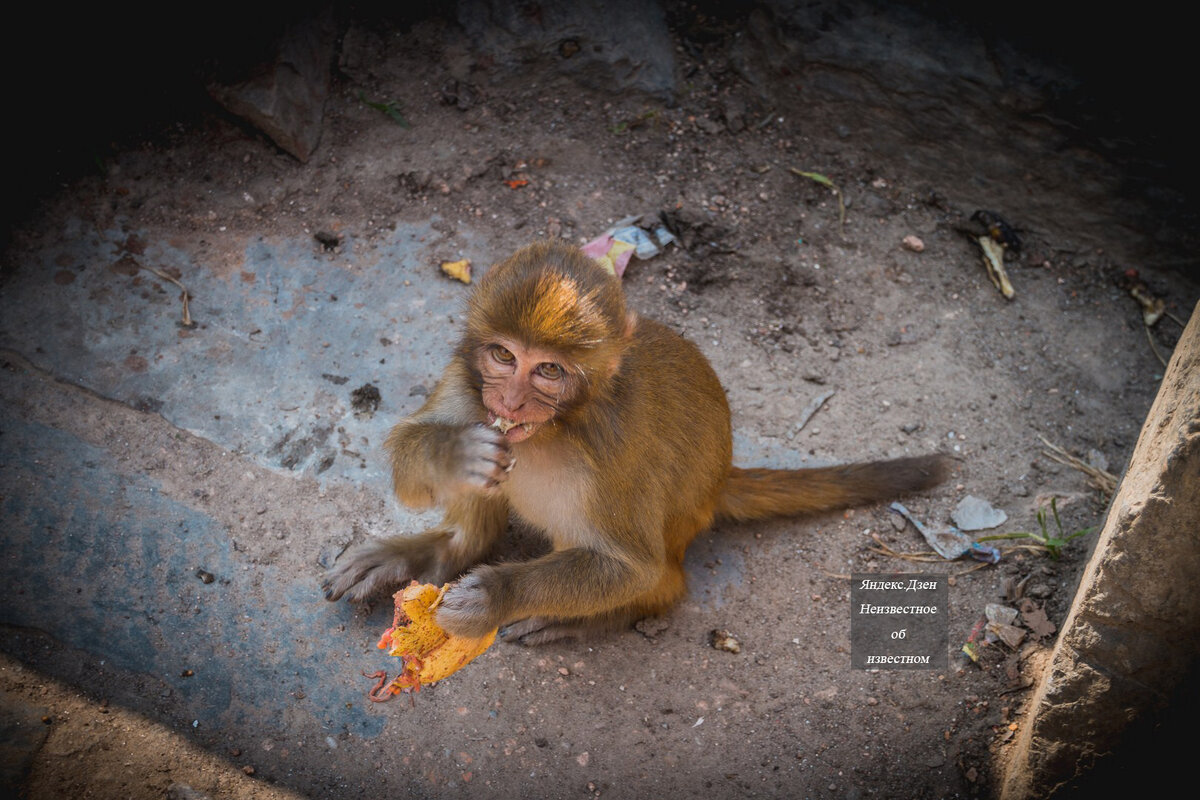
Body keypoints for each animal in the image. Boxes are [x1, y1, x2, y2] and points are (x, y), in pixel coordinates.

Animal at [326, 237, 945, 642]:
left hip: (679, 523)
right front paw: (458, 454)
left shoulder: (612, 451)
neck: (557, 427)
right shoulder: (466, 382)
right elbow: (412, 455)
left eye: (547, 370)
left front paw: (497, 595)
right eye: (503, 356)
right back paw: (439, 551)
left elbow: (633, 567)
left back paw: (577, 616)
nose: (511, 403)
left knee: (660, 578)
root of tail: (720, 481)